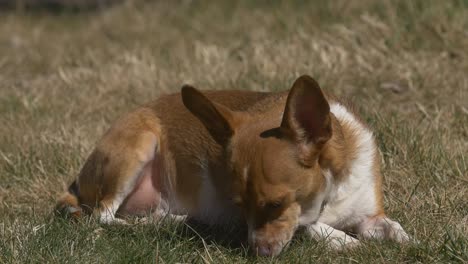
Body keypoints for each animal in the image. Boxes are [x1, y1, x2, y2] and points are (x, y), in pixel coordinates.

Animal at [55, 75, 410, 256]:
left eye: (275, 204)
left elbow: (394, 229)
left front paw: (404, 242)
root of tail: (78, 181)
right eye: (239, 205)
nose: (255, 251)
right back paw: (169, 222)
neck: (330, 195)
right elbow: (307, 226)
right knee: (102, 216)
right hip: (139, 145)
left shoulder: (370, 215)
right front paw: (340, 240)